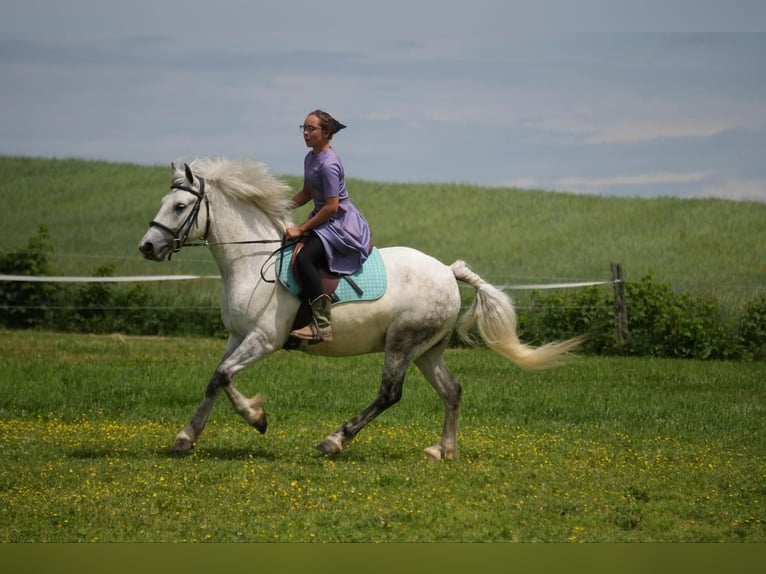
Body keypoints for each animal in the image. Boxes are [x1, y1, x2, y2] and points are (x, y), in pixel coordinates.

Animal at [140, 159, 584, 464]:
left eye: (179, 206)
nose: (147, 247)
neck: (250, 261)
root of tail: (447, 271)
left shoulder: (264, 339)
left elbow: (224, 376)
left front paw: (256, 417)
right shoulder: (237, 336)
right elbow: (216, 378)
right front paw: (186, 437)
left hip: (402, 343)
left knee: (389, 394)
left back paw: (335, 440)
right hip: (427, 351)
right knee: (452, 390)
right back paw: (443, 450)